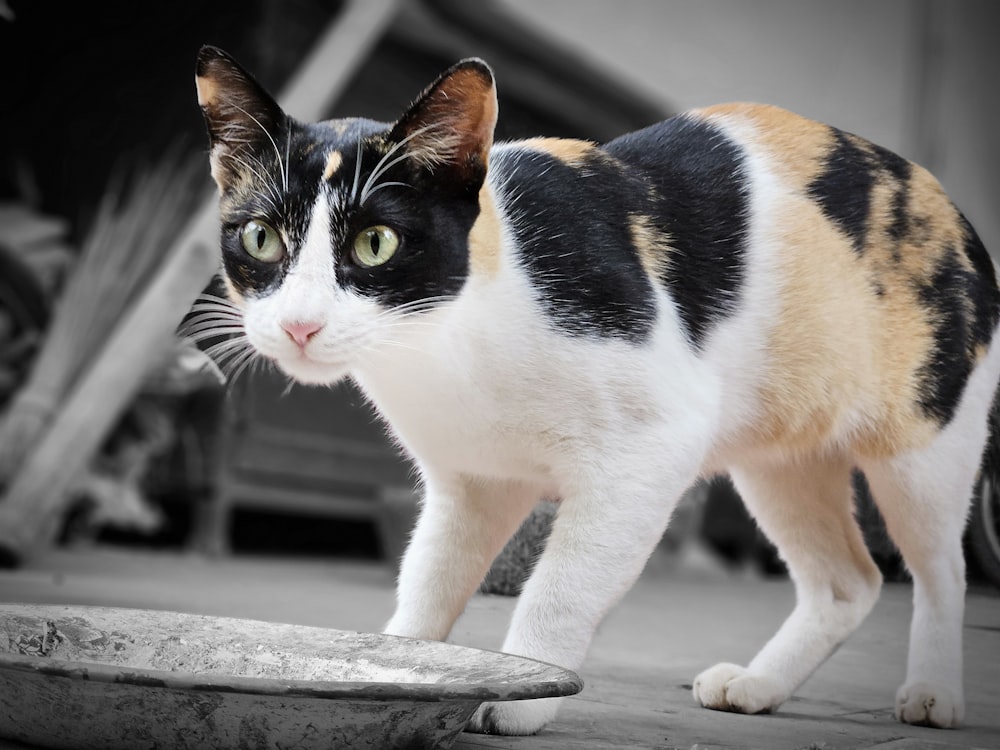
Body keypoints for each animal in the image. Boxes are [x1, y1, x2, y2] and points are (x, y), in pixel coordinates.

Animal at [193, 44, 1000, 736]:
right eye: (260, 237)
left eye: (375, 244)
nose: (300, 325)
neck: (447, 342)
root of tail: (953, 208)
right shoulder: (471, 483)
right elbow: (426, 581)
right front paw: (391, 668)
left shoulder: (650, 449)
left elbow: (560, 589)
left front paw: (521, 693)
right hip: (781, 461)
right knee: (848, 582)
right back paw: (760, 685)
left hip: (923, 445)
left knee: (942, 569)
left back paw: (934, 692)